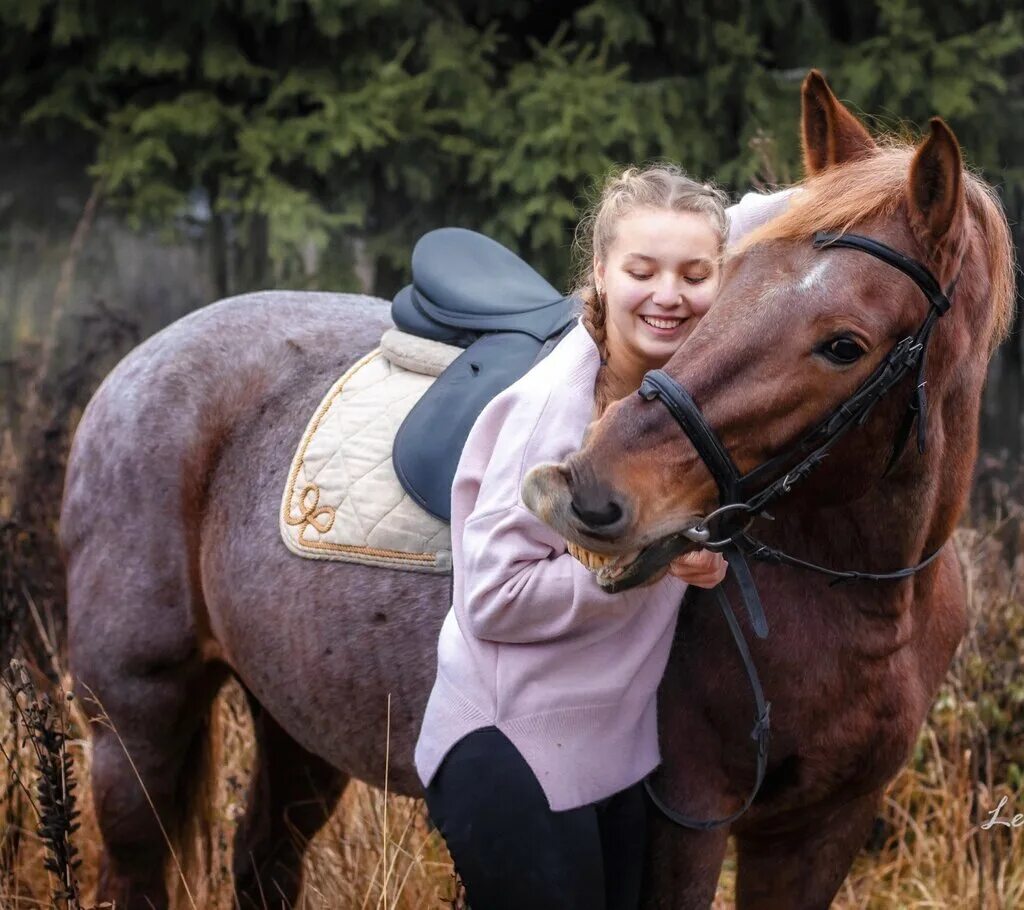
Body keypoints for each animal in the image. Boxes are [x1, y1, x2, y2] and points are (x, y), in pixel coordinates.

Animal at [59, 72, 1011, 908]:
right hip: (135, 723)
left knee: (264, 862)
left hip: (295, 724)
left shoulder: (821, 831)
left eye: (845, 345)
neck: (864, 597)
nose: (590, 493)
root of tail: (140, 365)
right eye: (724, 281)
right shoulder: (686, 821)